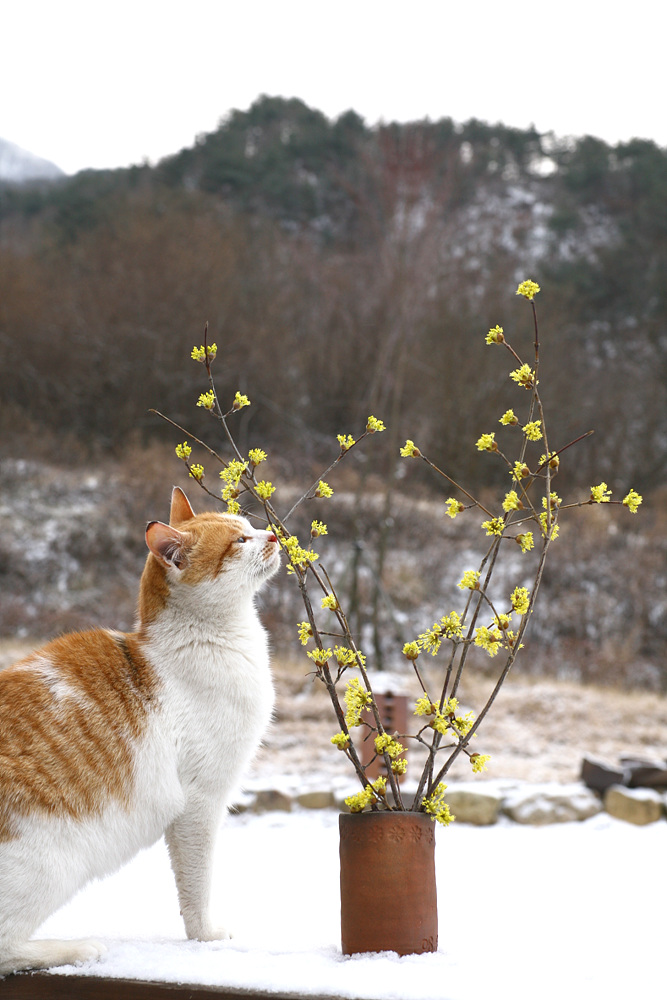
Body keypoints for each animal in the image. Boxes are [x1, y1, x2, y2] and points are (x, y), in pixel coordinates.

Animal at [0, 488, 282, 972]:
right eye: (240, 541)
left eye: (250, 526)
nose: (275, 535)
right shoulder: (199, 803)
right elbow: (197, 882)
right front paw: (205, 935)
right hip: (50, 862)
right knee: (6, 947)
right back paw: (78, 948)